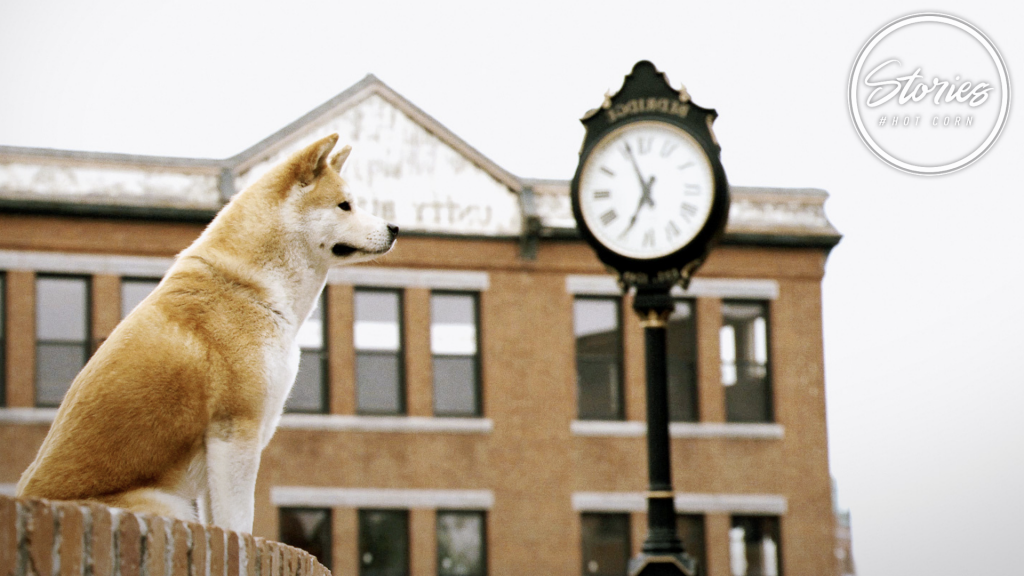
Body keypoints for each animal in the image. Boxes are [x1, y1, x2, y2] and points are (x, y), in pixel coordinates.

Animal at [14, 132, 395, 532]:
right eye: (344, 206)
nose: (395, 229)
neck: (251, 289)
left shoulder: (225, 452)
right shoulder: (234, 434)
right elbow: (239, 524)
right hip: (170, 505)